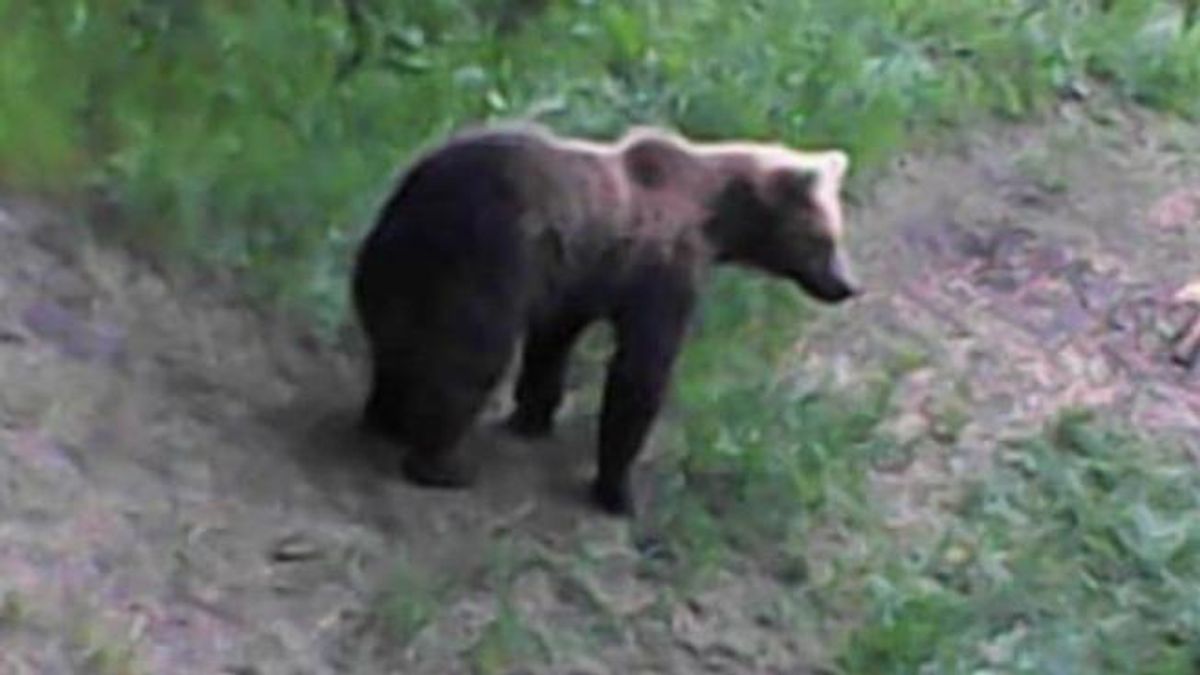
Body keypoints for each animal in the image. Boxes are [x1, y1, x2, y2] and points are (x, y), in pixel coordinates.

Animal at [350, 123, 859, 511]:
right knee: (471, 358)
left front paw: (532, 418)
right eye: (824, 238)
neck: (716, 221)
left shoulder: (578, 276)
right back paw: (441, 464)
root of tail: (417, 197)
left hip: (395, 265)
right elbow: (642, 370)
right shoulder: (659, 268)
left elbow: (553, 342)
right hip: (482, 263)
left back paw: (386, 418)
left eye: (837, 233)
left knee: (396, 348)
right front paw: (619, 492)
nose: (847, 286)